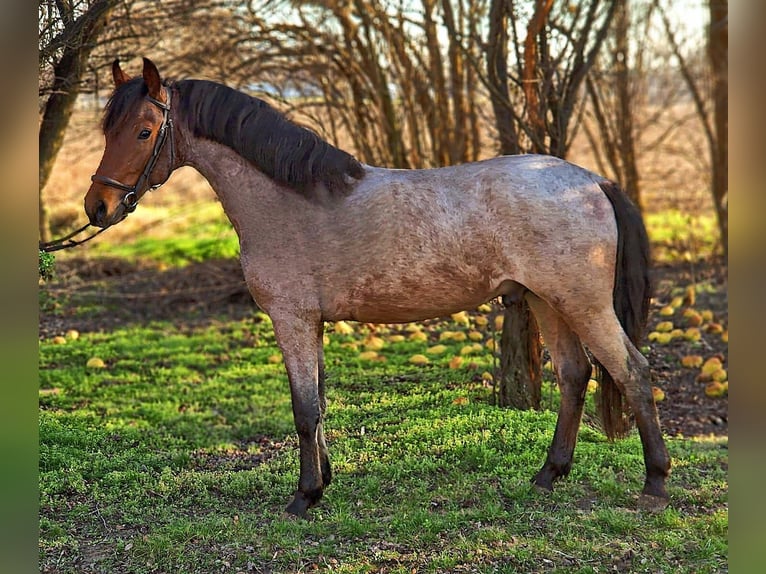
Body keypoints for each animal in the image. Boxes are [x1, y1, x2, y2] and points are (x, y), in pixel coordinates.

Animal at [85, 59, 672, 520]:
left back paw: (655, 484)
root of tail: (591, 180)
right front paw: (322, 482)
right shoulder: (312, 323)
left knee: (633, 372)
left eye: (143, 131)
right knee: (575, 376)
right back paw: (549, 474)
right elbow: (318, 402)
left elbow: (303, 408)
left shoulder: (291, 318)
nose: (98, 207)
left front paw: (303, 497)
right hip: (546, 301)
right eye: (108, 130)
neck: (287, 200)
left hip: (582, 303)